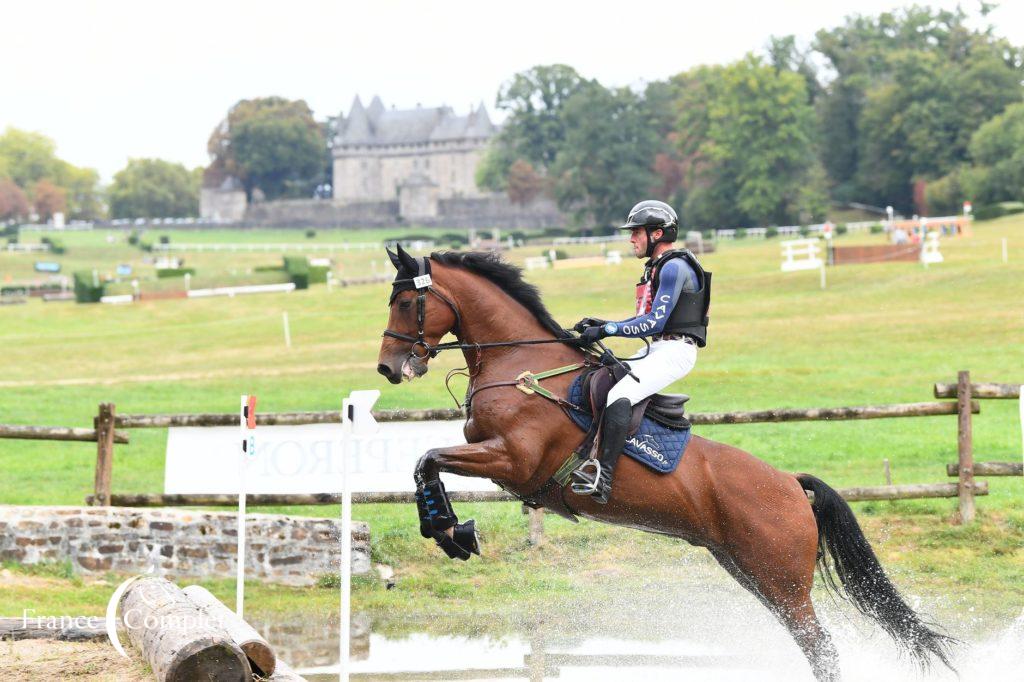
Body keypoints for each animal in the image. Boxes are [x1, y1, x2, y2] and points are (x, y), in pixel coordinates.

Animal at [378, 242, 958, 675]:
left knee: (822, 647)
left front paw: (451, 531)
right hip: (751, 573)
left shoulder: (514, 461)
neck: (520, 364)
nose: (388, 368)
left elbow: (428, 458)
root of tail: (793, 485)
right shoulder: (499, 463)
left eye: (405, 303)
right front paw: (450, 530)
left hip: (783, 581)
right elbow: (425, 463)